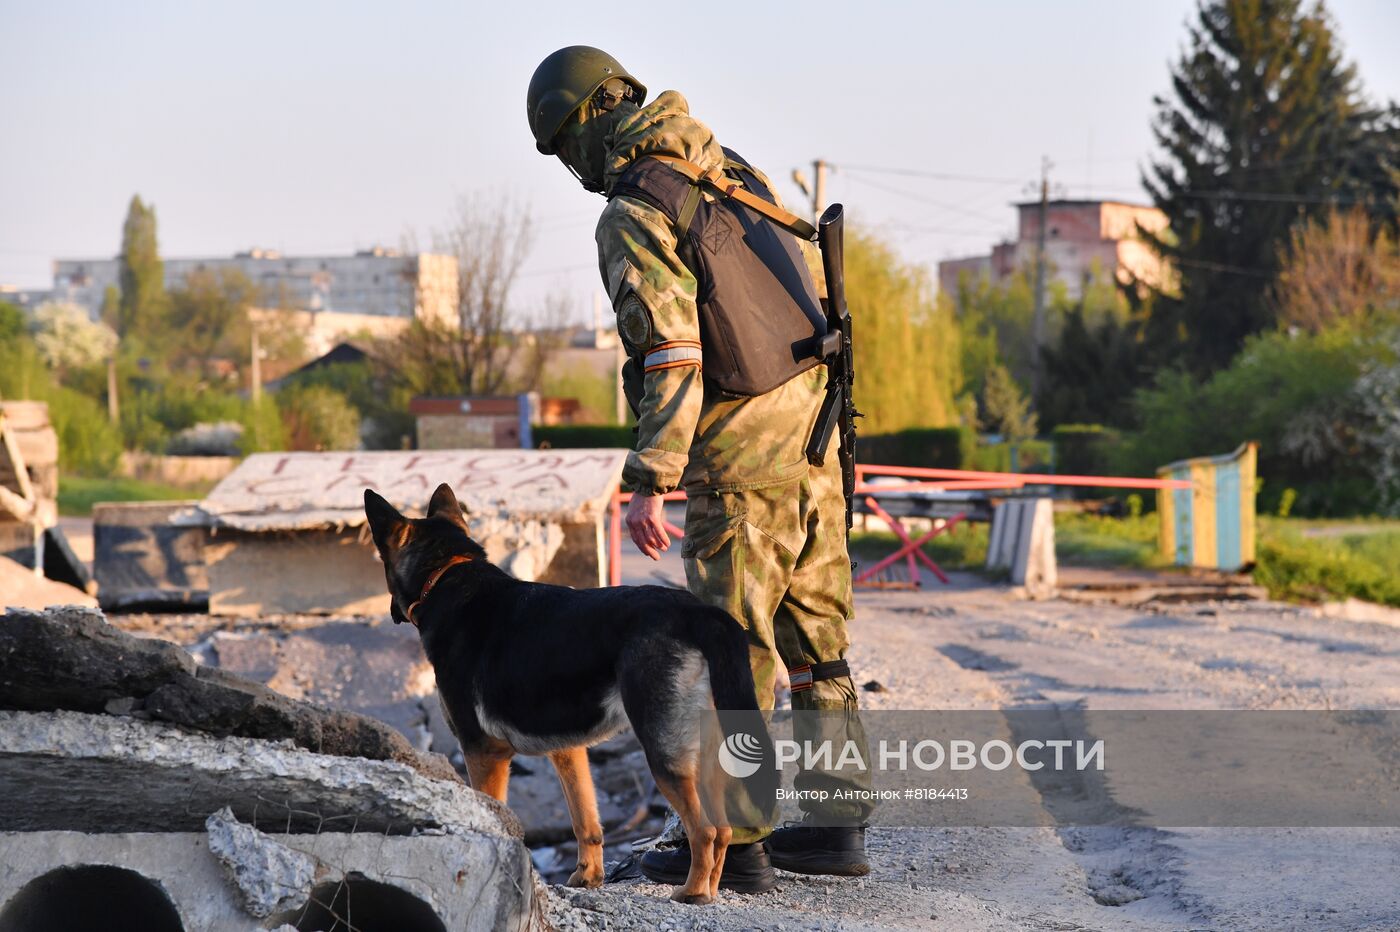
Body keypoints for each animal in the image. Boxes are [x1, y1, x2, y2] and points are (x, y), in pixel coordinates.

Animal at [361, 481, 778, 895]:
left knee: (704, 830)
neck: (447, 574)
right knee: (724, 829)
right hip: (708, 752)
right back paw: (710, 890)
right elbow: (585, 821)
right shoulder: (568, 750)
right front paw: (588, 878)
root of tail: (699, 613)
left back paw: (692, 894)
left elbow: (492, 813)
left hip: (666, 752)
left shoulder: (482, 751)